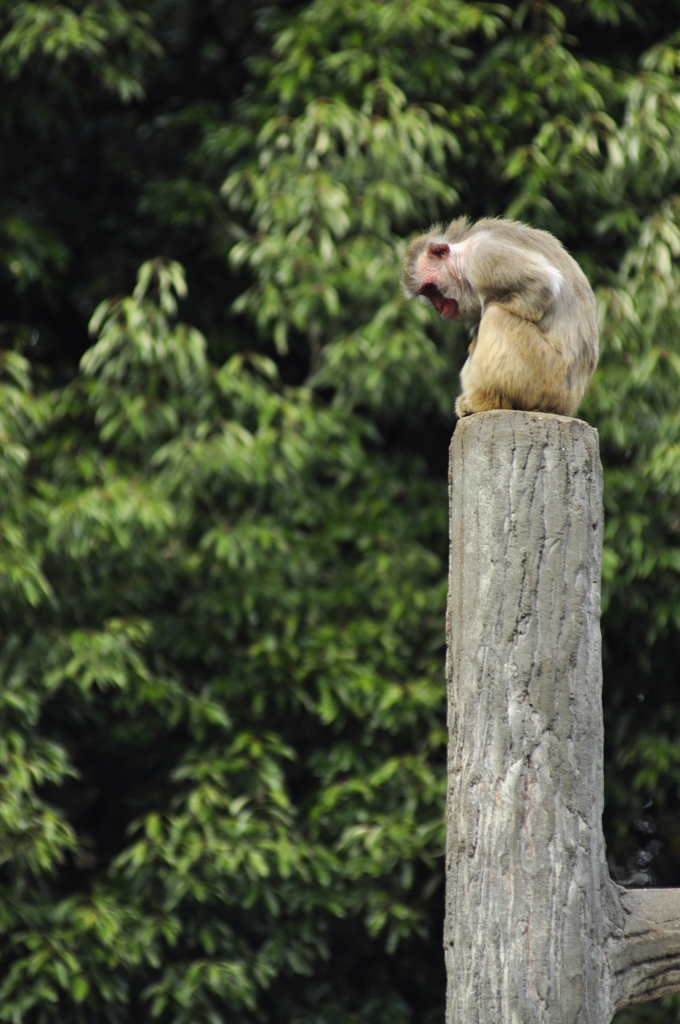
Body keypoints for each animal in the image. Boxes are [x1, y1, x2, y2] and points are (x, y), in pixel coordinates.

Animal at [401, 216, 598, 415]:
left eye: (430, 288)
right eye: (426, 293)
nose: (439, 307)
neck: (462, 255)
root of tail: (569, 404)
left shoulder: (484, 258)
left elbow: (542, 285)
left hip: (547, 378)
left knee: (496, 314)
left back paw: (492, 401)